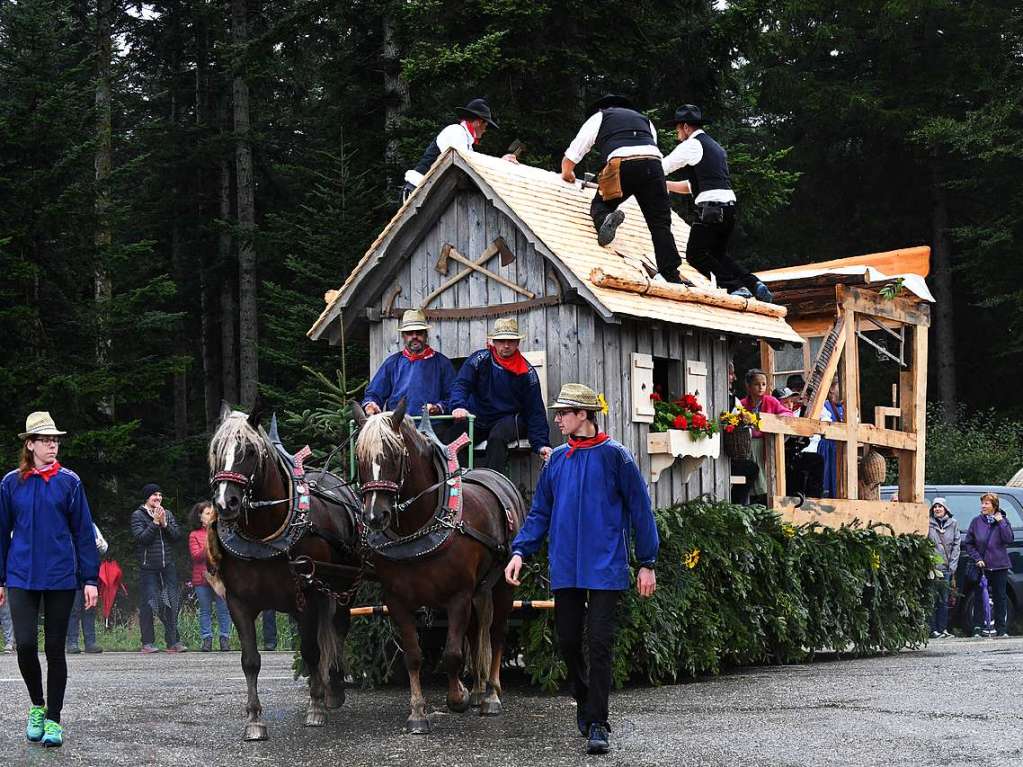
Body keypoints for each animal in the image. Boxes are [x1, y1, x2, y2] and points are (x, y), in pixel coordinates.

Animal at [205, 404, 362, 740]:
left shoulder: (308, 595)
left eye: (249, 451)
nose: (225, 503)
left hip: (345, 585)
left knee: (337, 629)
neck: (265, 535)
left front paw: (315, 707)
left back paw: (334, 688)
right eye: (215, 451)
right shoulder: (238, 602)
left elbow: (311, 651)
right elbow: (250, 661)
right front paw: (254, 720)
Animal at [353, 398, 527, 736]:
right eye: (360, 456)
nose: (375, 516)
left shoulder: (457, 596)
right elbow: (414, 655)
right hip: (480, 590)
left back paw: (491, 694)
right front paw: (418, 712)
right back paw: (479, 691)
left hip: (503, 584)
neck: (420, 526)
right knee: (476, 632)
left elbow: (452, 654)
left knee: (496, 632)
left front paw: (457, 696)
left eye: (395, 454)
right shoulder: (397, 601)